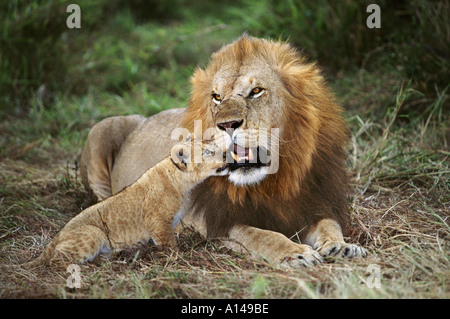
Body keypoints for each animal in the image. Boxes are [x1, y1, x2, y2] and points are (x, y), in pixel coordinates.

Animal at [80, 36, 366, 268]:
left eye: (256, 91)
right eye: (216, 96)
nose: (227, 124)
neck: (275, 180)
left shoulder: (314, 202)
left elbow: (329, 224)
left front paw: (341, 246)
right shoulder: (215, 223)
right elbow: (262, 235)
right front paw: (295, 252)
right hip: (100, 130)